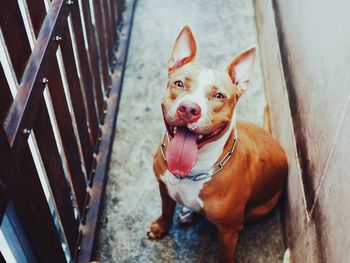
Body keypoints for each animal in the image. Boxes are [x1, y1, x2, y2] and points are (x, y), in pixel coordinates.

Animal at [148, 25, 288, 262]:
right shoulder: (164, 187)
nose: (189, 109)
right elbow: (166, 210)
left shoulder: (228, 231)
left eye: (219, 96)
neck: (193, 172)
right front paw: (161, 227)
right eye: (179, 83)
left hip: (259, 208)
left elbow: (225, 254)